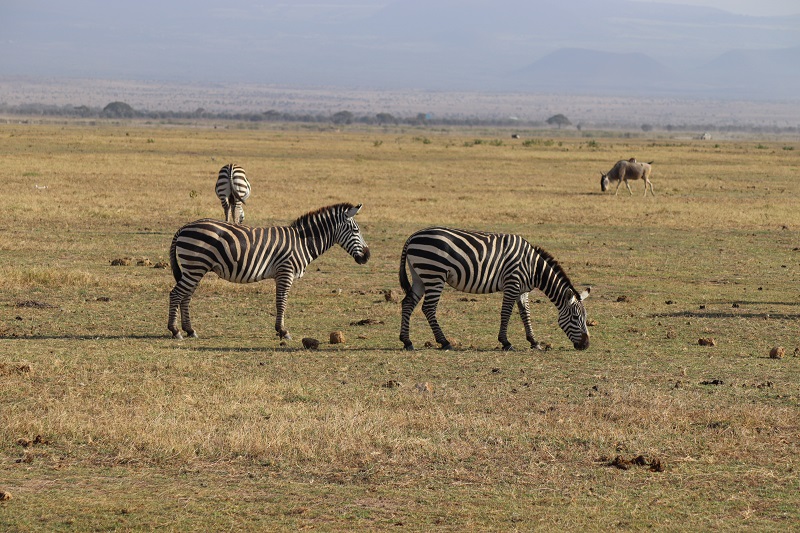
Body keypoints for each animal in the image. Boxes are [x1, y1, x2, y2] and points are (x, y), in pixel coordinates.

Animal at [170, 204, 370, 340]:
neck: (303, 241)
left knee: (185, 296)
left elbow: (280, 301)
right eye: (356, 230)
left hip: (194, 268)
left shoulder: (282, 274)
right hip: (196, 265)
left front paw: (280, 330)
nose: (367, 256)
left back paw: (190, 330)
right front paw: (283, 331)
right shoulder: (285, 271)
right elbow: (281, 302)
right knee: (176, 294)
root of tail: (185, 227)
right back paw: (175, 330)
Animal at [398, 227, 592, 352]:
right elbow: (506, 313)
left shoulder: (522, 290)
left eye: (585, 318)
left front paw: (534, 341)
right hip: (434, 274)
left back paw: (407, 341)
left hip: (420, 276)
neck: (533, 268)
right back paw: (444, 342)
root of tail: (413, 236)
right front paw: (506, 342)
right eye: (575, 318)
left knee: (407, 303)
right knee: (428, 308)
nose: (586, 345)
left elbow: (526, 314)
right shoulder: (512, 283)